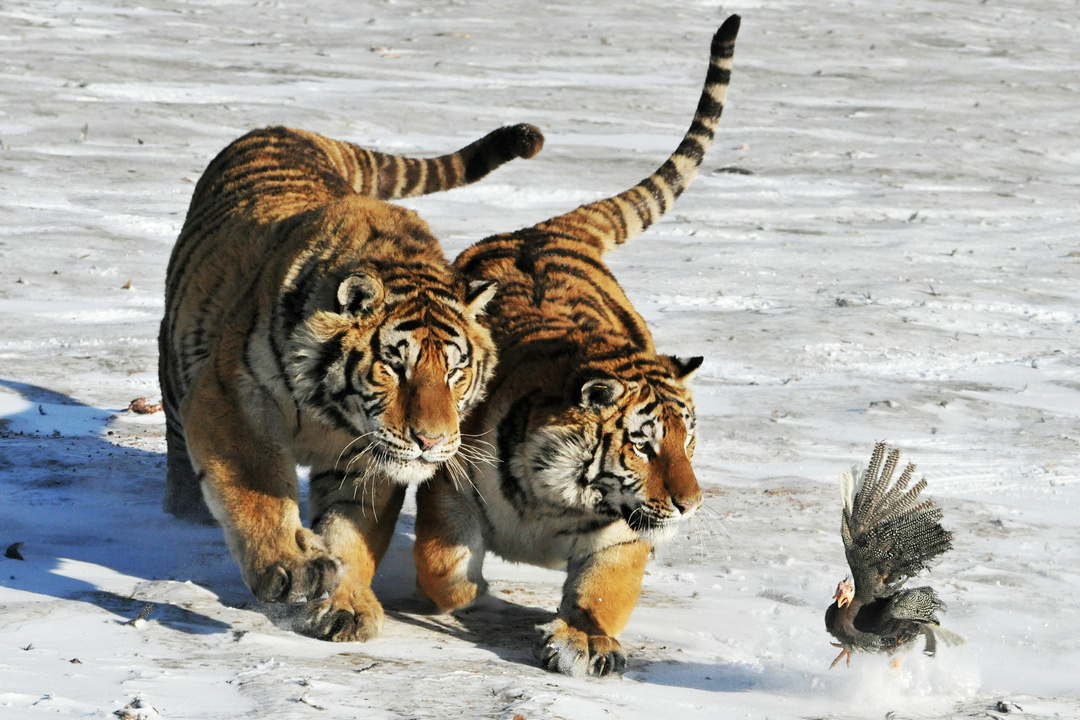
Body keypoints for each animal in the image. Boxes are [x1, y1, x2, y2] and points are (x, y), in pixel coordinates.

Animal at [157, 122, 548, 643]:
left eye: (454, 373)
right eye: (395, 368)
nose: (431, 441)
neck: (328, 414)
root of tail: (290, 128)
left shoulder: (367, 461)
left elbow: (352, 533)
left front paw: (344, 607)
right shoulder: (233, 397)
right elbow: (260, 491)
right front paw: (293, 570)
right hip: (176, 355)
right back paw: (185, 508)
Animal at [412, 15, 743, 677]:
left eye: (688, 442)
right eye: (643, 445)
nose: (691, 505)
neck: (555, 502)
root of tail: (546, 228)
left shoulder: (624, 533)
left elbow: (604, 593)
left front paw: (581, 642)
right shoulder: (449, 484)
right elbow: (445, 569)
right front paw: (479, 596)